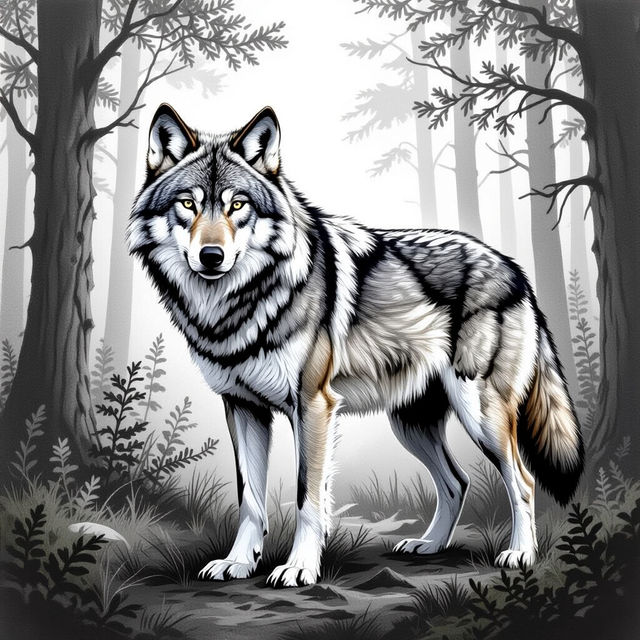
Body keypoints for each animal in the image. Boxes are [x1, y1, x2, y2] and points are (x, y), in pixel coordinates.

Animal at [128, 104, 584, 588]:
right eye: (188, 203)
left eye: (237, 205)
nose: (211, 256)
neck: (238, 304)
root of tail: (515, 268)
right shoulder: (242, 407)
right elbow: (249, 498)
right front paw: (238, 562)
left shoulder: (313, 406)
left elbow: (307, 497)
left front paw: (299, 567)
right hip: (411, 425)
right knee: (457, 482)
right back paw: (429, 545)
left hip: (479, 415)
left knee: (523, 482)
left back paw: (520, 554)